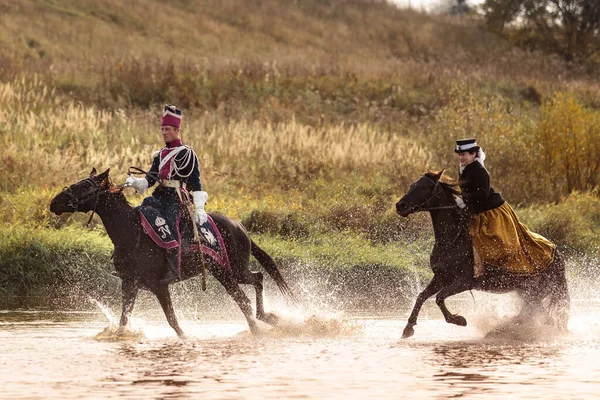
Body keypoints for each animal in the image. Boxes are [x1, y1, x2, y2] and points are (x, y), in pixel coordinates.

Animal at [50, 167, 296, 336]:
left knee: (247, 294)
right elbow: (123, 320)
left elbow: (173, 321)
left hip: (230, 271)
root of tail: (240, 227)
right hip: (224, 272)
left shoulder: (159, 285)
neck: (132, 233)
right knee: (257, 280)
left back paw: (260, 325)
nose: (54, 203)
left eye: (84, 186)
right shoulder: (129, 283)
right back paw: (267, 318)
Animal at [396, 170, 568, 340]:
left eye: (424, 187)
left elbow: (439, 297)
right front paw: (408, 328)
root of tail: (557, 255)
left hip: (536, 292)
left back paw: (500, 331)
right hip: (528, 292)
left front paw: (459, 320)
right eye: (412, 185)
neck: (452, 239)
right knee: (540, 316)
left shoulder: (463, 282)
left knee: (534, 315)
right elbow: (422, 296)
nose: (400, 206)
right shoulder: (441, 277)